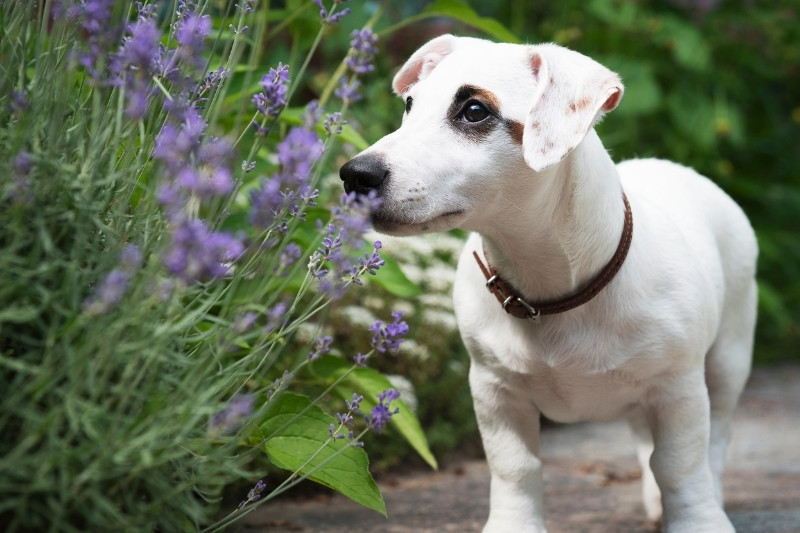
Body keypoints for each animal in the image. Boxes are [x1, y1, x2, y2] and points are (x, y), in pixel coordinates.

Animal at [338, 34, 756, 532]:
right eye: (409, 104)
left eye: (474, 111)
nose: (355, 175)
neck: (550, 290)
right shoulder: (495, 390)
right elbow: (515, 466)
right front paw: (512, 524)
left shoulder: (677, 388)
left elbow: (681, 464)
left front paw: (697, 519)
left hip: (728, 358)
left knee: (717, 437)